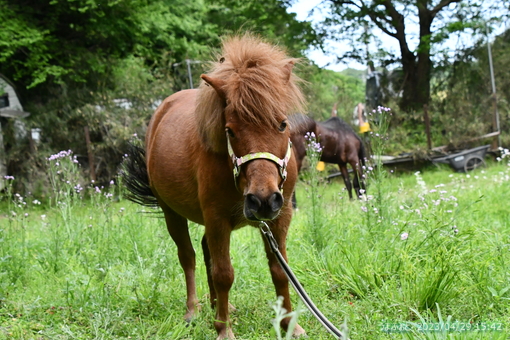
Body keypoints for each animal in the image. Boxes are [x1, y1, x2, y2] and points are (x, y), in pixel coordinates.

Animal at [123, 35, 306, 340]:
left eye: (282, 124)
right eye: (229, 130)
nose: (263, 200)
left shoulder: (280, 217)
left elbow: (280, 270)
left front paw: (289, 324)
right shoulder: (216, 217)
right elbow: (224, 273)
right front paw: (223, 329)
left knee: (206, 251)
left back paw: (218, 305)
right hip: (172, 213)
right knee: (189, 256)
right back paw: (194, 310)